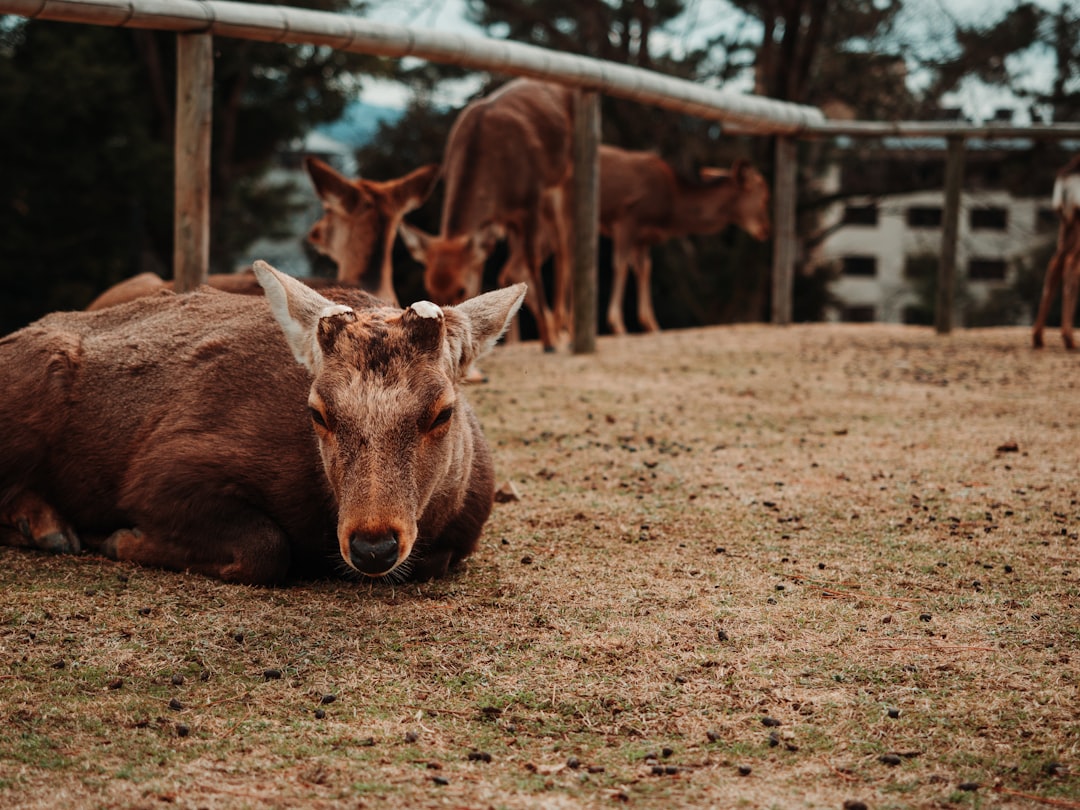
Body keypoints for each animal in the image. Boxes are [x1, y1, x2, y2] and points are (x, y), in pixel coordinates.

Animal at [0, 263, 522, 587]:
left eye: (443, 411)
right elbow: (266, 548)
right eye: (317, 411)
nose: (373, 546)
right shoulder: (159, 469)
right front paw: (119, 538)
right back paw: (47, 527)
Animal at [399, 78, 574, 352]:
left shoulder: (531, 200)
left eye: (461, 290)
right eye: (429, 288)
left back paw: (563, 331)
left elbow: (534, 263)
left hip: (563, 179)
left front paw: (549, 340)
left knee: (564, 248)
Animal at [587, 147, 773, 334]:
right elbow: (621, 265)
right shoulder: (627, 220)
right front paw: (616, 323)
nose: (765, 229)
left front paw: (651, 324)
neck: (670, 211)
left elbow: (645, 268)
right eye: (764, 197)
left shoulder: (642, 238)